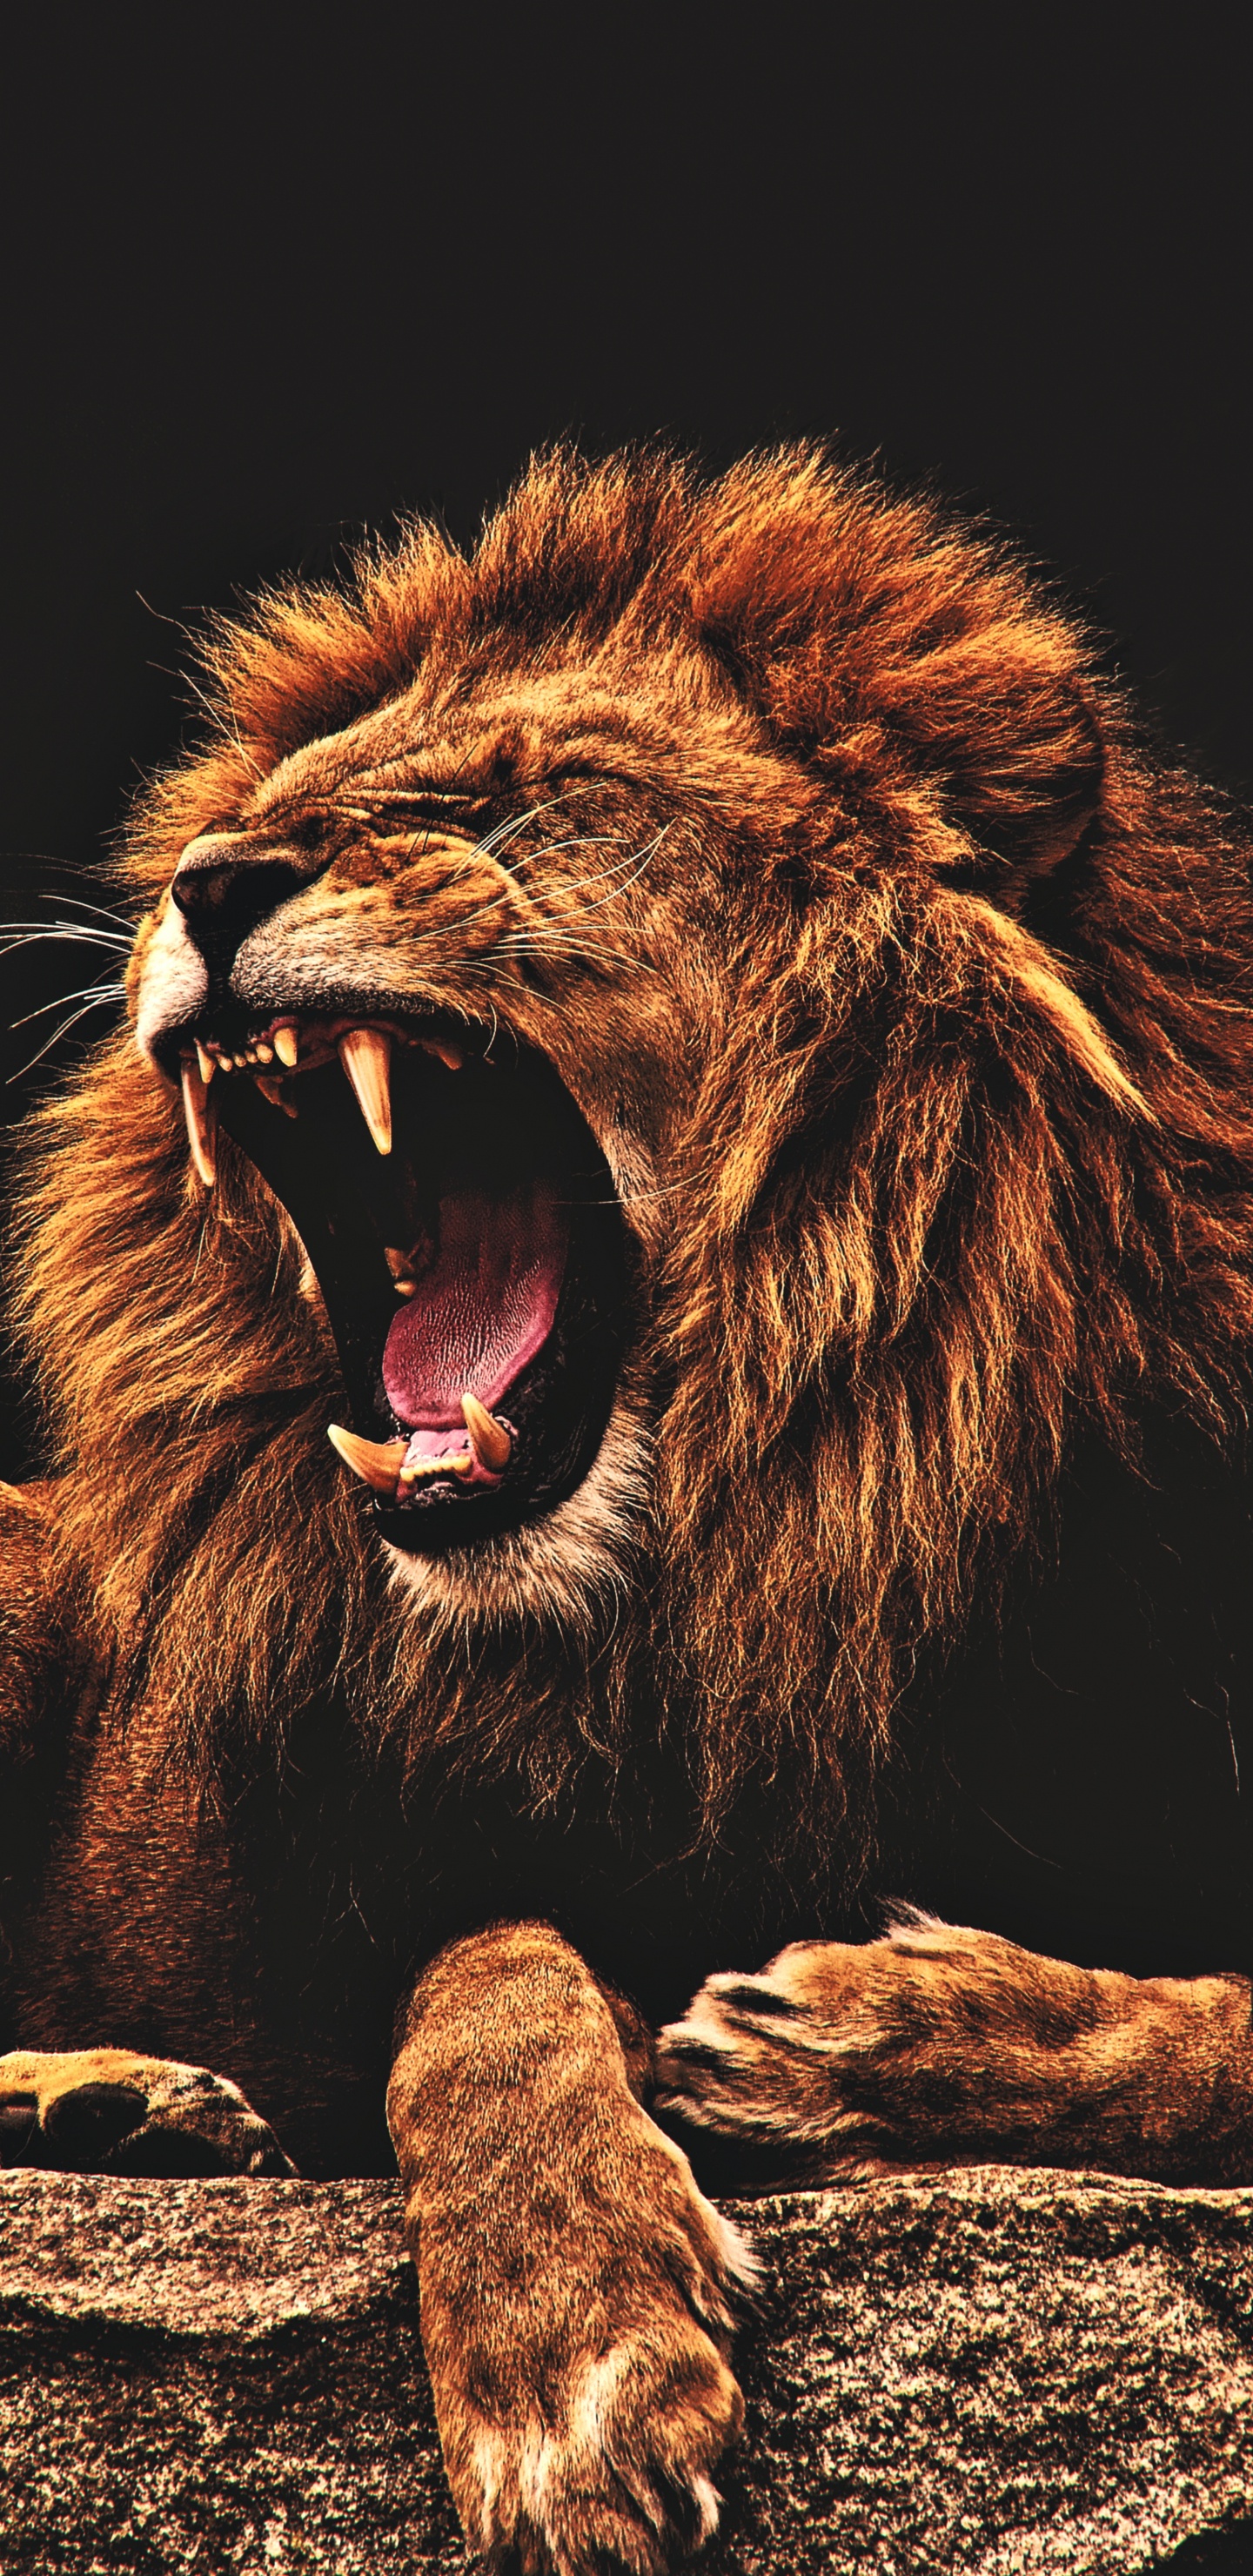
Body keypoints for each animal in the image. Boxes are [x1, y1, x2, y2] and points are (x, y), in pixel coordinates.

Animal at [3, 443, 1253, 2574]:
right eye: (258, 818)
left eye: (537, 795)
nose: (210, 884)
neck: (757, 1544)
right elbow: (490, 1963)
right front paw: (572, 2359)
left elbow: (1211, 2030)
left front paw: (871, 2036)